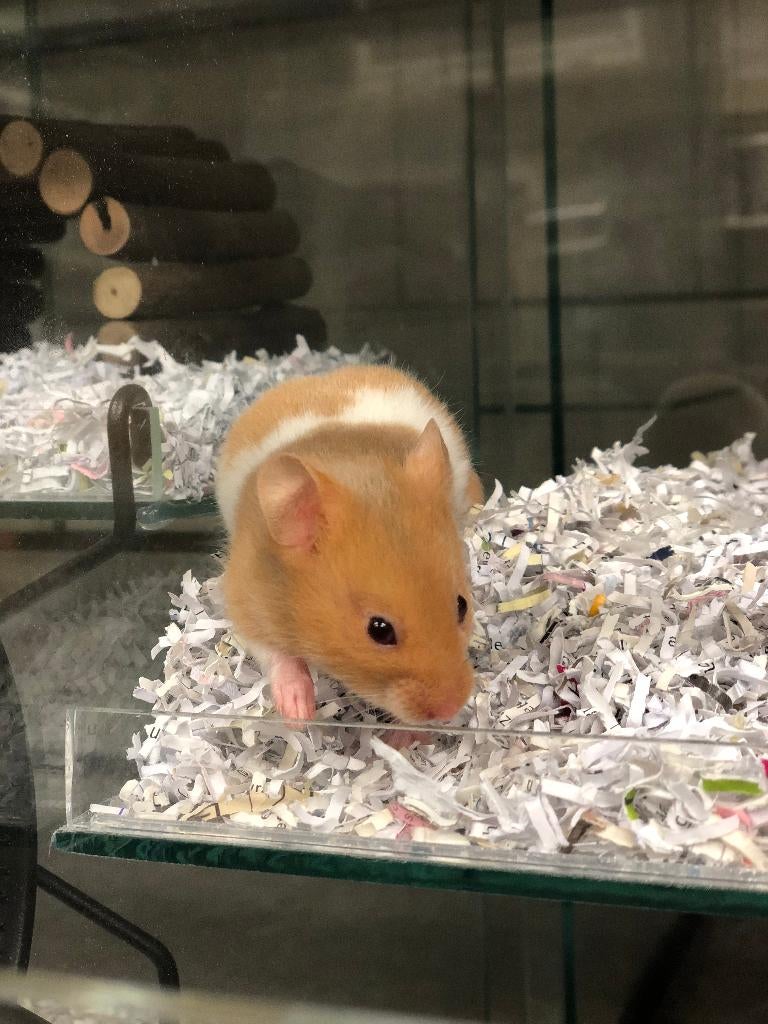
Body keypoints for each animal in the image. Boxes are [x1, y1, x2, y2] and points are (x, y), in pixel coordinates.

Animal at [216, 364, 483, 724]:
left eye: (462, 605)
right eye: (379, 629)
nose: (451, 709)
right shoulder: (246, 598)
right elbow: (276, 655)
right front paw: (299, 715)